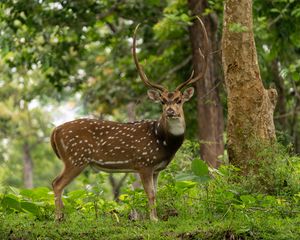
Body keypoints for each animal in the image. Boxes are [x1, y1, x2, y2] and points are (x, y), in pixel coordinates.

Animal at [50, 16, 207, 222]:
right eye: (163, 101)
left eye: (179, 100)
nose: (170, 111)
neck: (164, 142)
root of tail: (54, 131)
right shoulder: (143, 163)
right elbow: (150, 193)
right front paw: (154, 219)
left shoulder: (156, 168)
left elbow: (156, 193)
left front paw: (153, 217)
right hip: (76, 158)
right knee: (56, 183)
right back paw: (59, 218)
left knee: (55, 183)